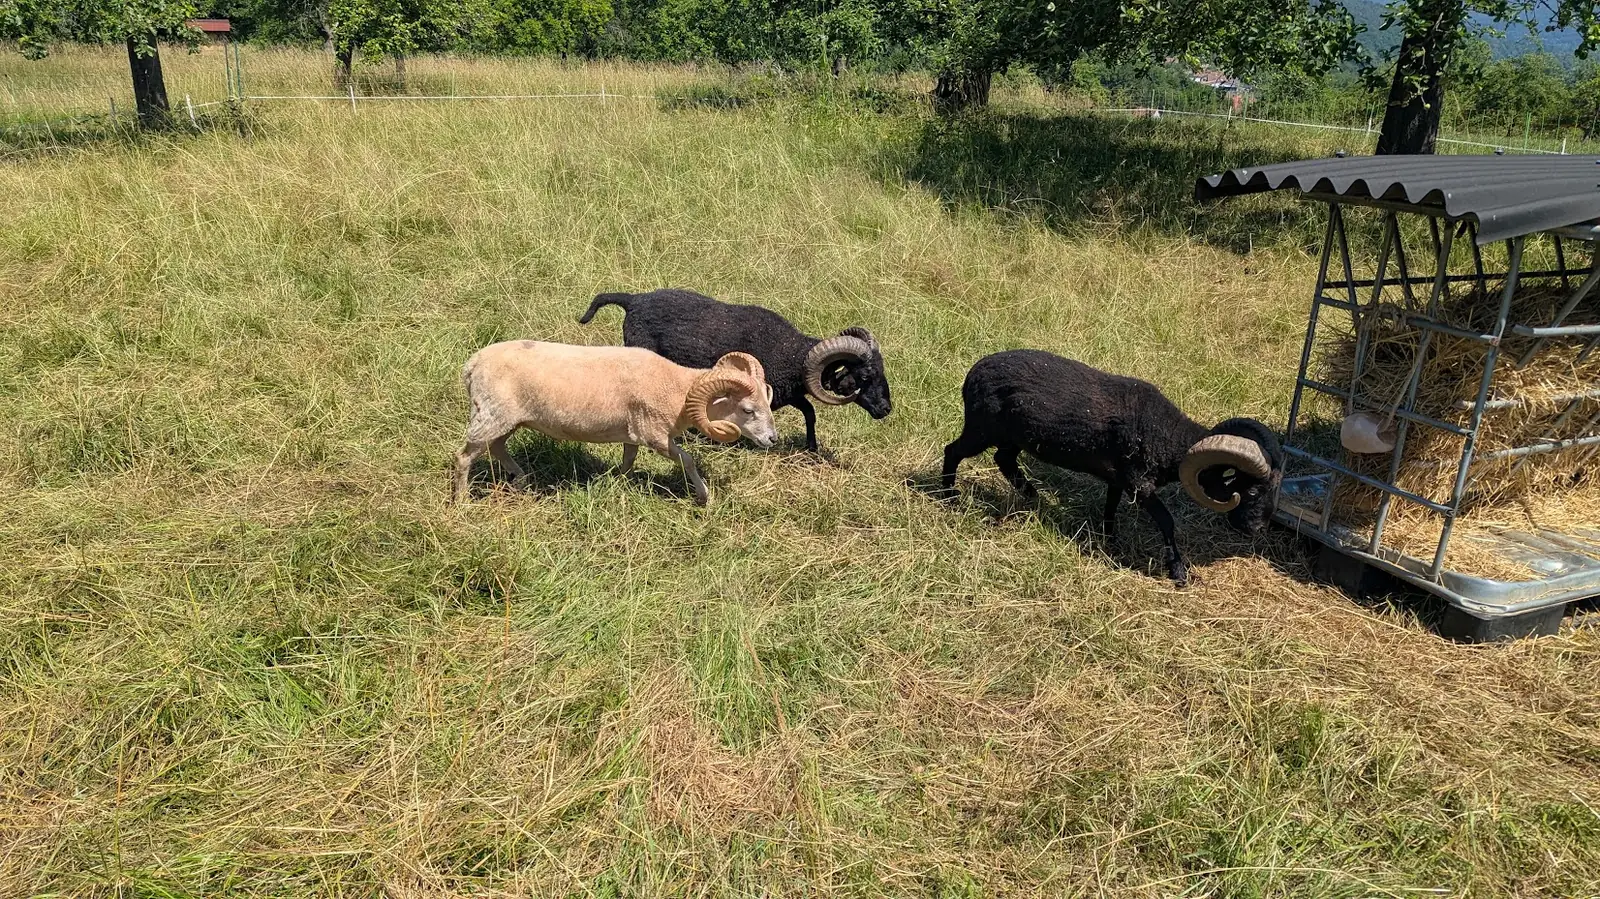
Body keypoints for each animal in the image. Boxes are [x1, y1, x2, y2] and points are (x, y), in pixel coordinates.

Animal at [453, 341, 777, 506]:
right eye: (748, 410)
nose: (772, 439)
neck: (677, 389)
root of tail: (472, 364)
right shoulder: (654, 434)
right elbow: (687, 460)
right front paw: (703, 496)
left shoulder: (632, 434)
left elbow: (628, 460)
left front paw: (615, 482)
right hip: (491, 414)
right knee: (464, 457)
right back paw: (462, 501)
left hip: (506, 419)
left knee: (497, 448)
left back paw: (520, 479)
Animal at [579, 289, 890, 455]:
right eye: (864, 377)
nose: (886, 409)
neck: (792, 354)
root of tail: (634, 300)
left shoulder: (787, 392)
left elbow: (809, 412)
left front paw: (811, 446)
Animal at [939, 349, 1283, 586]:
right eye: (1251, 491)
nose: (1257, 530)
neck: (1166, 435)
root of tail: (973, 373)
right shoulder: (1138, 484)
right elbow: (1167, 522)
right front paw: (1179, 572)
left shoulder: (1118, 479)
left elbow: (1110, 508)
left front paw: (1110, 543)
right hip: (981, 429)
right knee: (953, 451)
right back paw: (949, 497)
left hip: (1013, 437)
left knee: (1004, 460)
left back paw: (1032, 497)